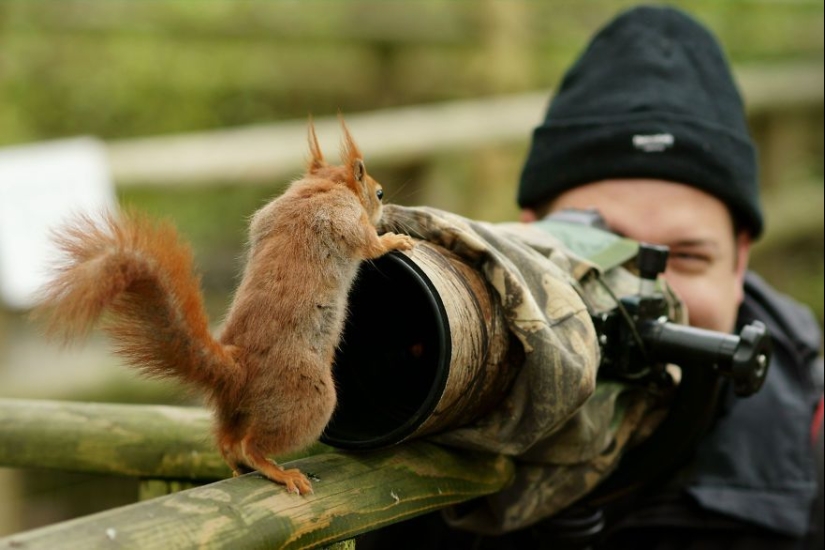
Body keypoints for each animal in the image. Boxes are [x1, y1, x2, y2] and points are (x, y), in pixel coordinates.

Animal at [35, 122, 416, 496]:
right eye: (379, 193)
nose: (385, 208)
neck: (321, 186)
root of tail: (237, 369)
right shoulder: (342, 217)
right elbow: (368, 245)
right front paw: (393, 240)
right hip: (310, 399)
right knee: (252, 445)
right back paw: (278, 472)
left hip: (234, 411)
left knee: (228, 442)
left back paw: (239, 466)